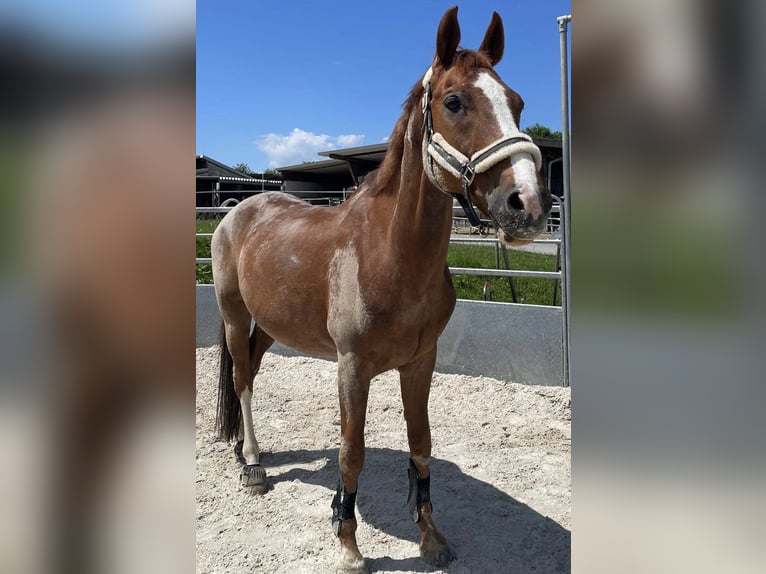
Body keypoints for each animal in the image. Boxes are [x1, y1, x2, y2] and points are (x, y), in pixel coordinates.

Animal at [214, 6, 552, 572]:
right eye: (454, 101)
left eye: (518, 103)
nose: (527, 203)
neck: (390, 255)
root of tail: (238, 210)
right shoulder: (352, 368)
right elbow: (352, 452)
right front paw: (349, 545)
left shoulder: (420, 362)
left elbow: (421, 443)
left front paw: (430, 538)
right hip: (236, 317)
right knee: (241, 377)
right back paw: (254, 464)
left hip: (273, 325)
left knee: (254, 372)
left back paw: (244, 449)